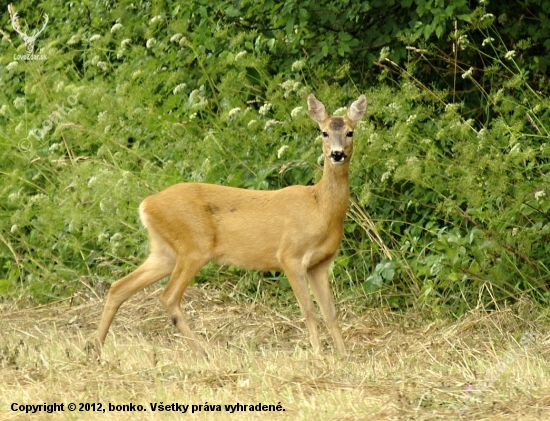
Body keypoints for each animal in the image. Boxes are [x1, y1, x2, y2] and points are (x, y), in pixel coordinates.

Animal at [97, 93, 368, 356]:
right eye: (323, 132)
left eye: (350, 132)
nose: (337, 154)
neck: (319, 207)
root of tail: (146, 205)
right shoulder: (290, 255)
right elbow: (309, 310)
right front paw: (319, 355)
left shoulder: (320, 264)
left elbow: (331, 313)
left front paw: (344, 356)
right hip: (194, 247)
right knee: (167, 297)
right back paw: (203, 352)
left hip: (165, 252)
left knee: (119, 287)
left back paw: (96, 348)